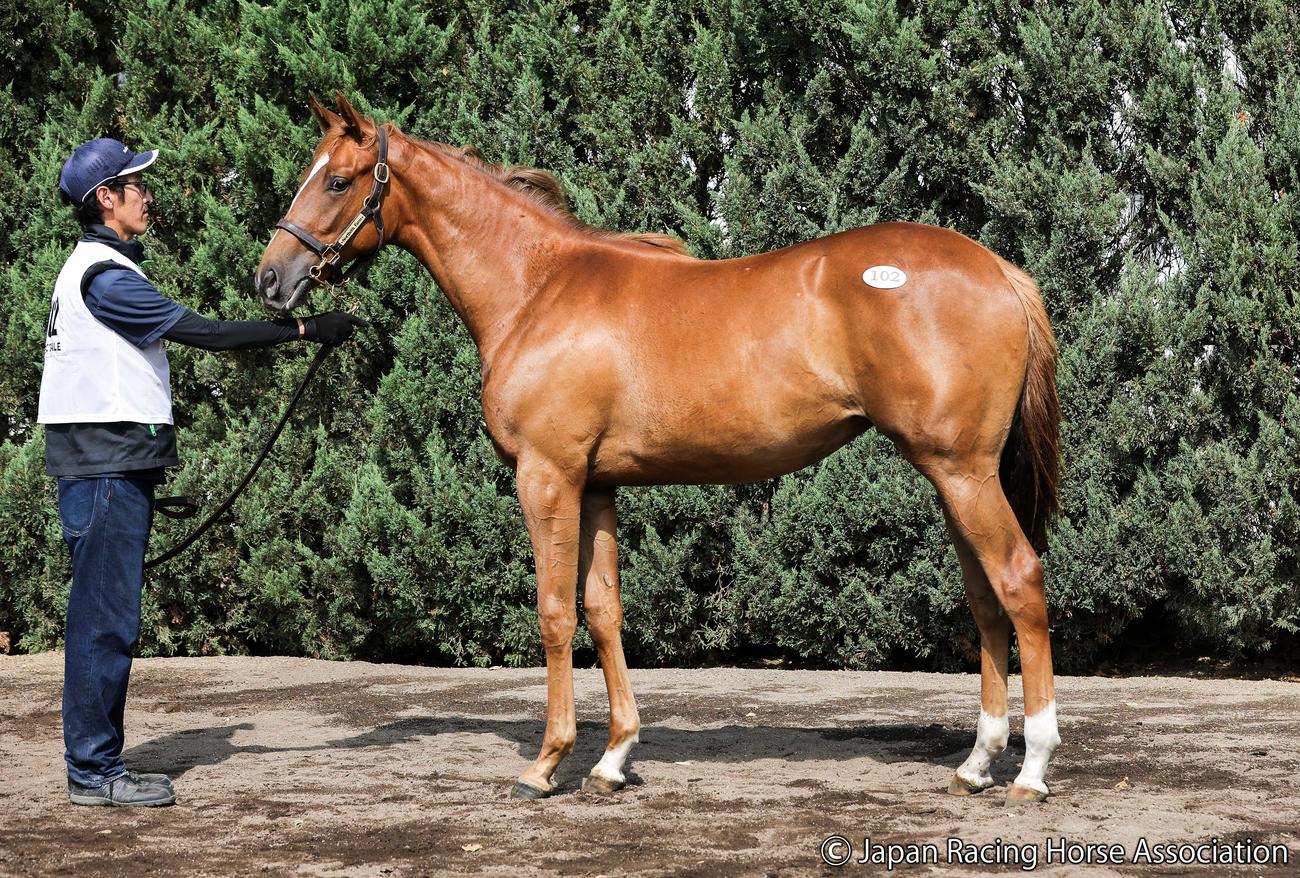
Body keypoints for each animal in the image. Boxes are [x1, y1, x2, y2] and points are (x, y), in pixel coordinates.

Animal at [255, 93, 1063, 805]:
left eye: (336, 180)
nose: (271, 280)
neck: (536, 289)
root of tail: (998, 269)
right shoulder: (597, 486)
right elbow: (604, 609)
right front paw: (613, 758)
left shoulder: (546, 478)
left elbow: (555, 611)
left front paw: (546, 765)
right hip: (954, 476)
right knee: (985, 599)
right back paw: (977, 763)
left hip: (962, 473)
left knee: (1020, 580)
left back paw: (1030, 769)